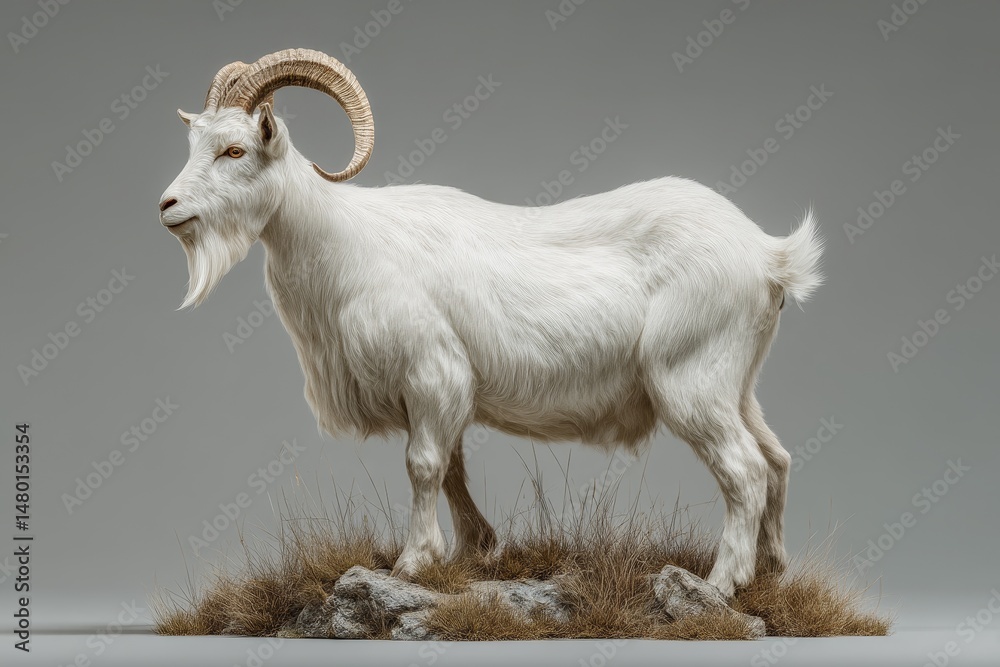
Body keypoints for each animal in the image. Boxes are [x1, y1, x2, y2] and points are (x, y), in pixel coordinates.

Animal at [159, 49, 823, 597]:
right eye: (195, 145)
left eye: (235, 149)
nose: (167, 207)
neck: (346, 243)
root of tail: (769, 255)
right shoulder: (444, 392)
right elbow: (452, 469)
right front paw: (475, 550)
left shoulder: (431, 373)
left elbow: (424, 465)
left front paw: (413, 562)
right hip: (735, 384)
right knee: (777, 461)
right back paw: (772, 572)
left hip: (690, 382)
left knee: (745, 471)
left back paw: (721, 583)